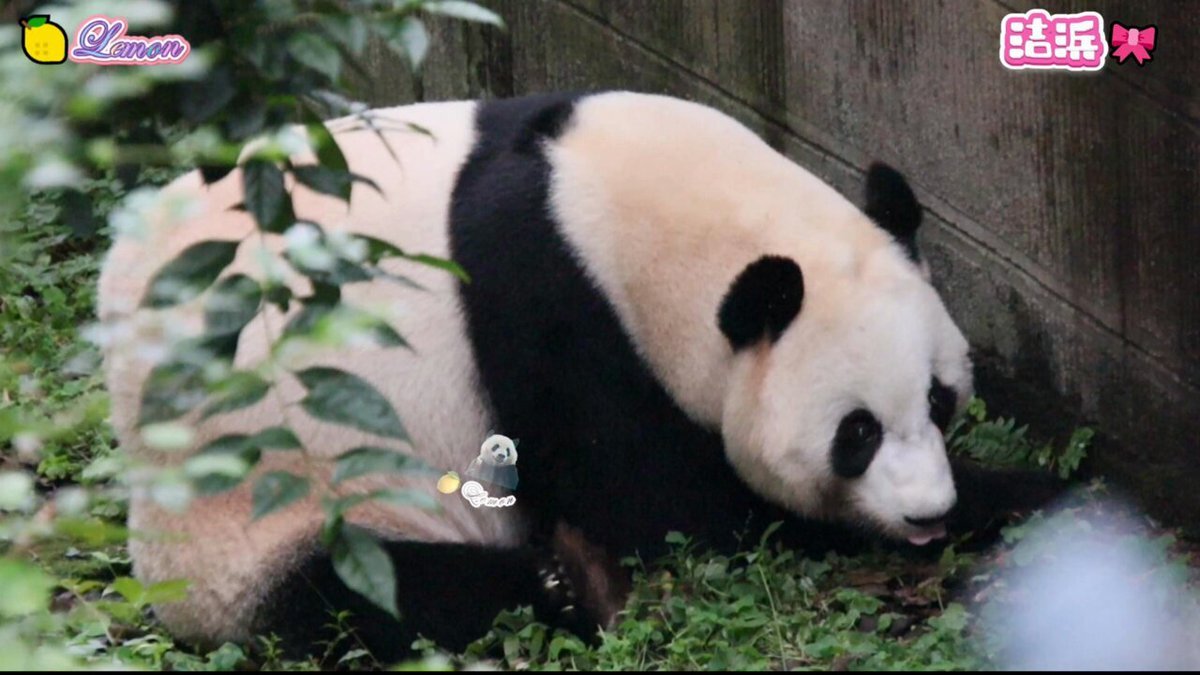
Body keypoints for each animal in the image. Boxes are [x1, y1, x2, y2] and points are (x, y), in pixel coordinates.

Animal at [98, 91, 1059, 662]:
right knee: (361, 589)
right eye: (855, 433)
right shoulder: (542, 300)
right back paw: (554, 591)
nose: (925, 513)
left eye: (939, 398)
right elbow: (667, 509)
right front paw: (1013, 493)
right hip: (259, 508)